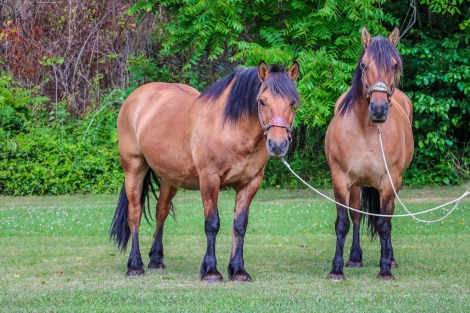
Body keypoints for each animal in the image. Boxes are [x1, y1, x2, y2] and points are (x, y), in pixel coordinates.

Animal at [111, 60, 302, 280]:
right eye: (262, 101)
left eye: (292, 102)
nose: (278, 145)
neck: (232, 129)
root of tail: (136, 96)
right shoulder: (210, 180)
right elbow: (212, 224)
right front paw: (211, 271)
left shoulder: (250, 183)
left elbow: (240, 225)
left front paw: (238, 271)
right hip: (134, 168)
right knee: (135, 213)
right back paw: (135, 265)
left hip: (170, 177)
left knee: (161, 211)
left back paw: (156, 260)